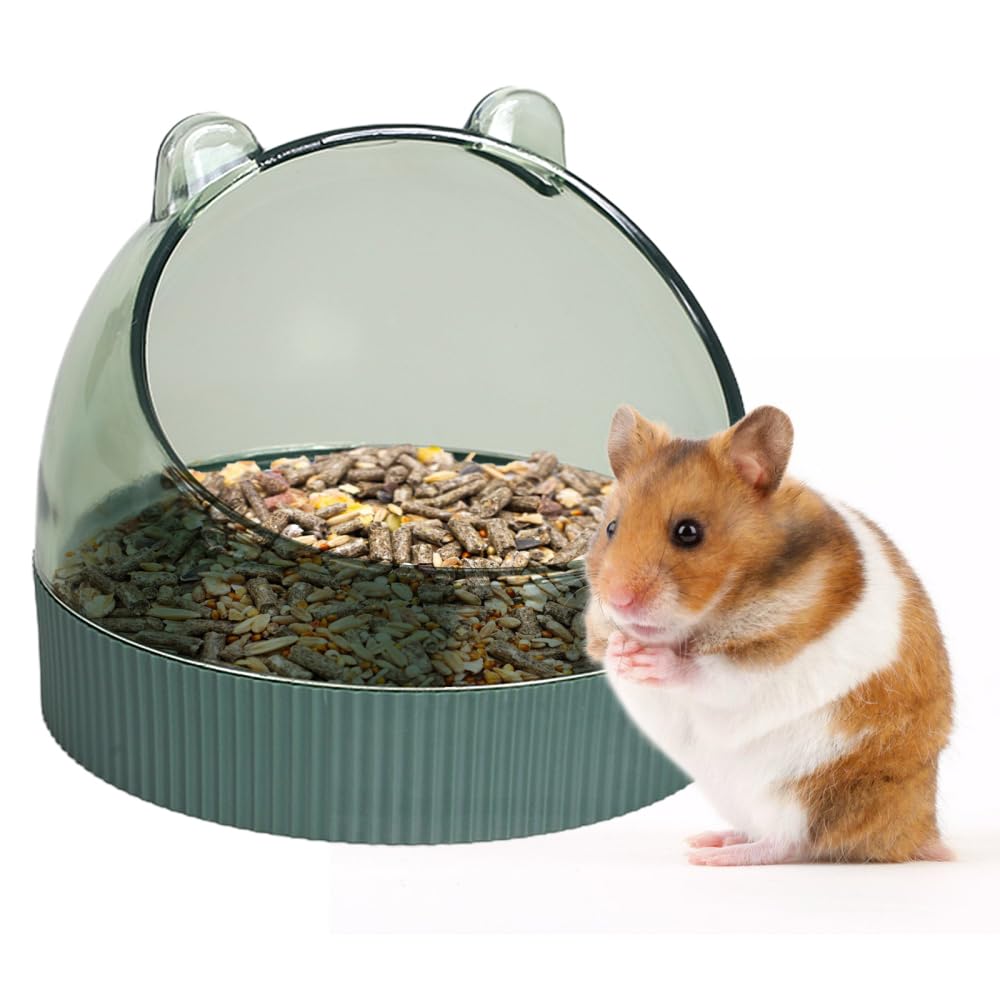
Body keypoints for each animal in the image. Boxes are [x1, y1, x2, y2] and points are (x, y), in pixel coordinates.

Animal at [584, 404, 953, 865]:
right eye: (611, 528)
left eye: (688, 532)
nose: (618, 600)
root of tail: (918, 833)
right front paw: (621, 650)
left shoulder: (763, 664)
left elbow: (707, 672)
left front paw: (652, 658)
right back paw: (710, 840)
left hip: (806, 793)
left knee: (791, 842)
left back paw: (712, 857)